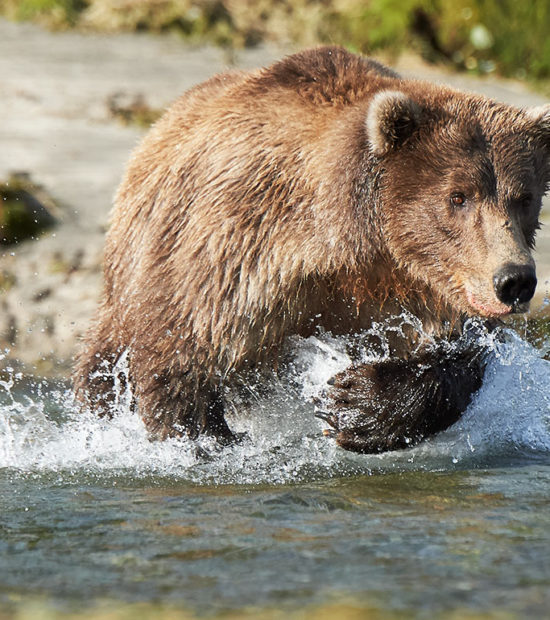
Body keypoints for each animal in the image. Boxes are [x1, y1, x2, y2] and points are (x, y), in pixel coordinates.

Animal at [74, 46, 550, 452]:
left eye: (524, 197)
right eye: (458, 196)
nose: (514, 281)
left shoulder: (418, 288)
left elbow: (460, 355)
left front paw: (356, 404)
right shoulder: (238, 248)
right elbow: (180, 350)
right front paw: (206, 440)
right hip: (131, 264)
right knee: (105, 365)